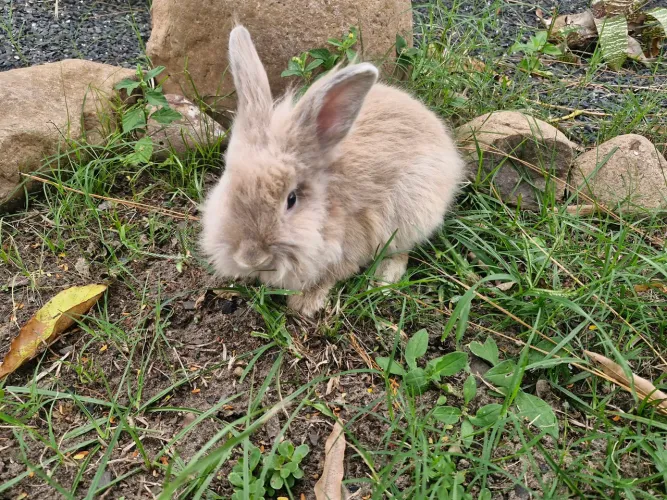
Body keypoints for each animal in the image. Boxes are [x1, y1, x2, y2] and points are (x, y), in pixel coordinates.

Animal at [200, 25, 465, 317]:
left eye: (291, 200)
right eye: (227, 183)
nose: (250, 257)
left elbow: (331, 275)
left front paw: (304, 304)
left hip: (413, 211)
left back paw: (384, 279)